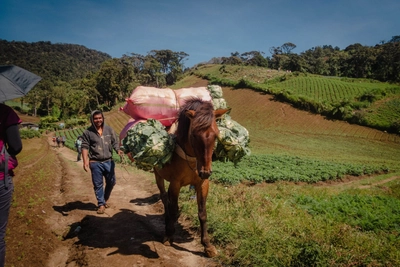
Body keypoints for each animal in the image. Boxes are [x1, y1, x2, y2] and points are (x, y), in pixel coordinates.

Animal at [153, 98, 228, 258]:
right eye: (194, 135)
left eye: (216, 135)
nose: (205, 172)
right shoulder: (175, 184)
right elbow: (173, 208)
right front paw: (169, 235)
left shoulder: (203, 184)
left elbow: (202, 213)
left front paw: (207, 245)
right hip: (158, 176)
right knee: (164, 198)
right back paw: (167, 222)